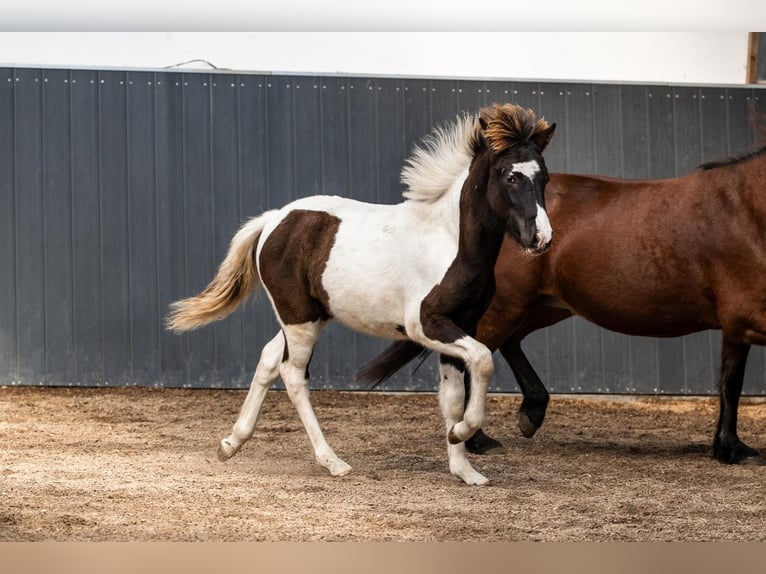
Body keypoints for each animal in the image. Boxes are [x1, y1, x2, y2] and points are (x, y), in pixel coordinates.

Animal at [166, 103, 557, 485]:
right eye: (510, 176)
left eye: (545, 178)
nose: (541, 239)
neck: (449, 240)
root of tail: (273, 219)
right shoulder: (425, 324)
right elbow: (483, 361)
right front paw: (461, 432)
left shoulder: (463, 323)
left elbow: (453, 395)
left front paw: (465, 470)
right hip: (300, 320)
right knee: (293, 374)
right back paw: (332, 462)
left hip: (308, 316)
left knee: (268, 359)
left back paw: (231, 443)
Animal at [358, 144, 766, 465]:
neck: (746, 208)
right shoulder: (745, 318)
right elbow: (732, 382)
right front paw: (731, 449)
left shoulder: (736, 325)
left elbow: (731, 381)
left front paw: (729, 447)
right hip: (512, 305)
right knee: (482, 350)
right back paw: (477, 437)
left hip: (545, 306)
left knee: (508, 343)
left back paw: (531, 411)